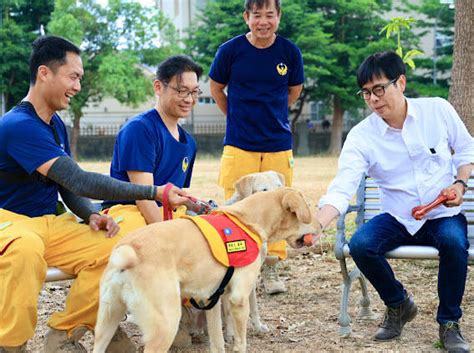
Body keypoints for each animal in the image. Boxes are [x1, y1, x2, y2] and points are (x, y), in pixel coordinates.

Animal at [93, 188, 320, 352]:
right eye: (308, 210)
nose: (320, 227)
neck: (247, 220)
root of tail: (128, 250)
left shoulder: (211, 300)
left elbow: (218, 342)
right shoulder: (238, 299)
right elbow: (240, 342)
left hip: (107, 322)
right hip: (165, 325)